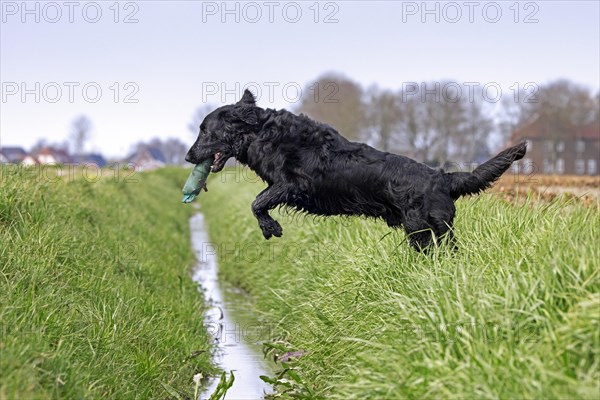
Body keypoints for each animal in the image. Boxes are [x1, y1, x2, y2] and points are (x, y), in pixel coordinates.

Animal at [186, 90, 524, 250]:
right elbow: (258, 201)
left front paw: (271, 227)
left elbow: (257, 201)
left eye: (205, 131)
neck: (264, 134)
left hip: (424, 230)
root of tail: (441, 177)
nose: (188, 157)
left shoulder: (294, 184)